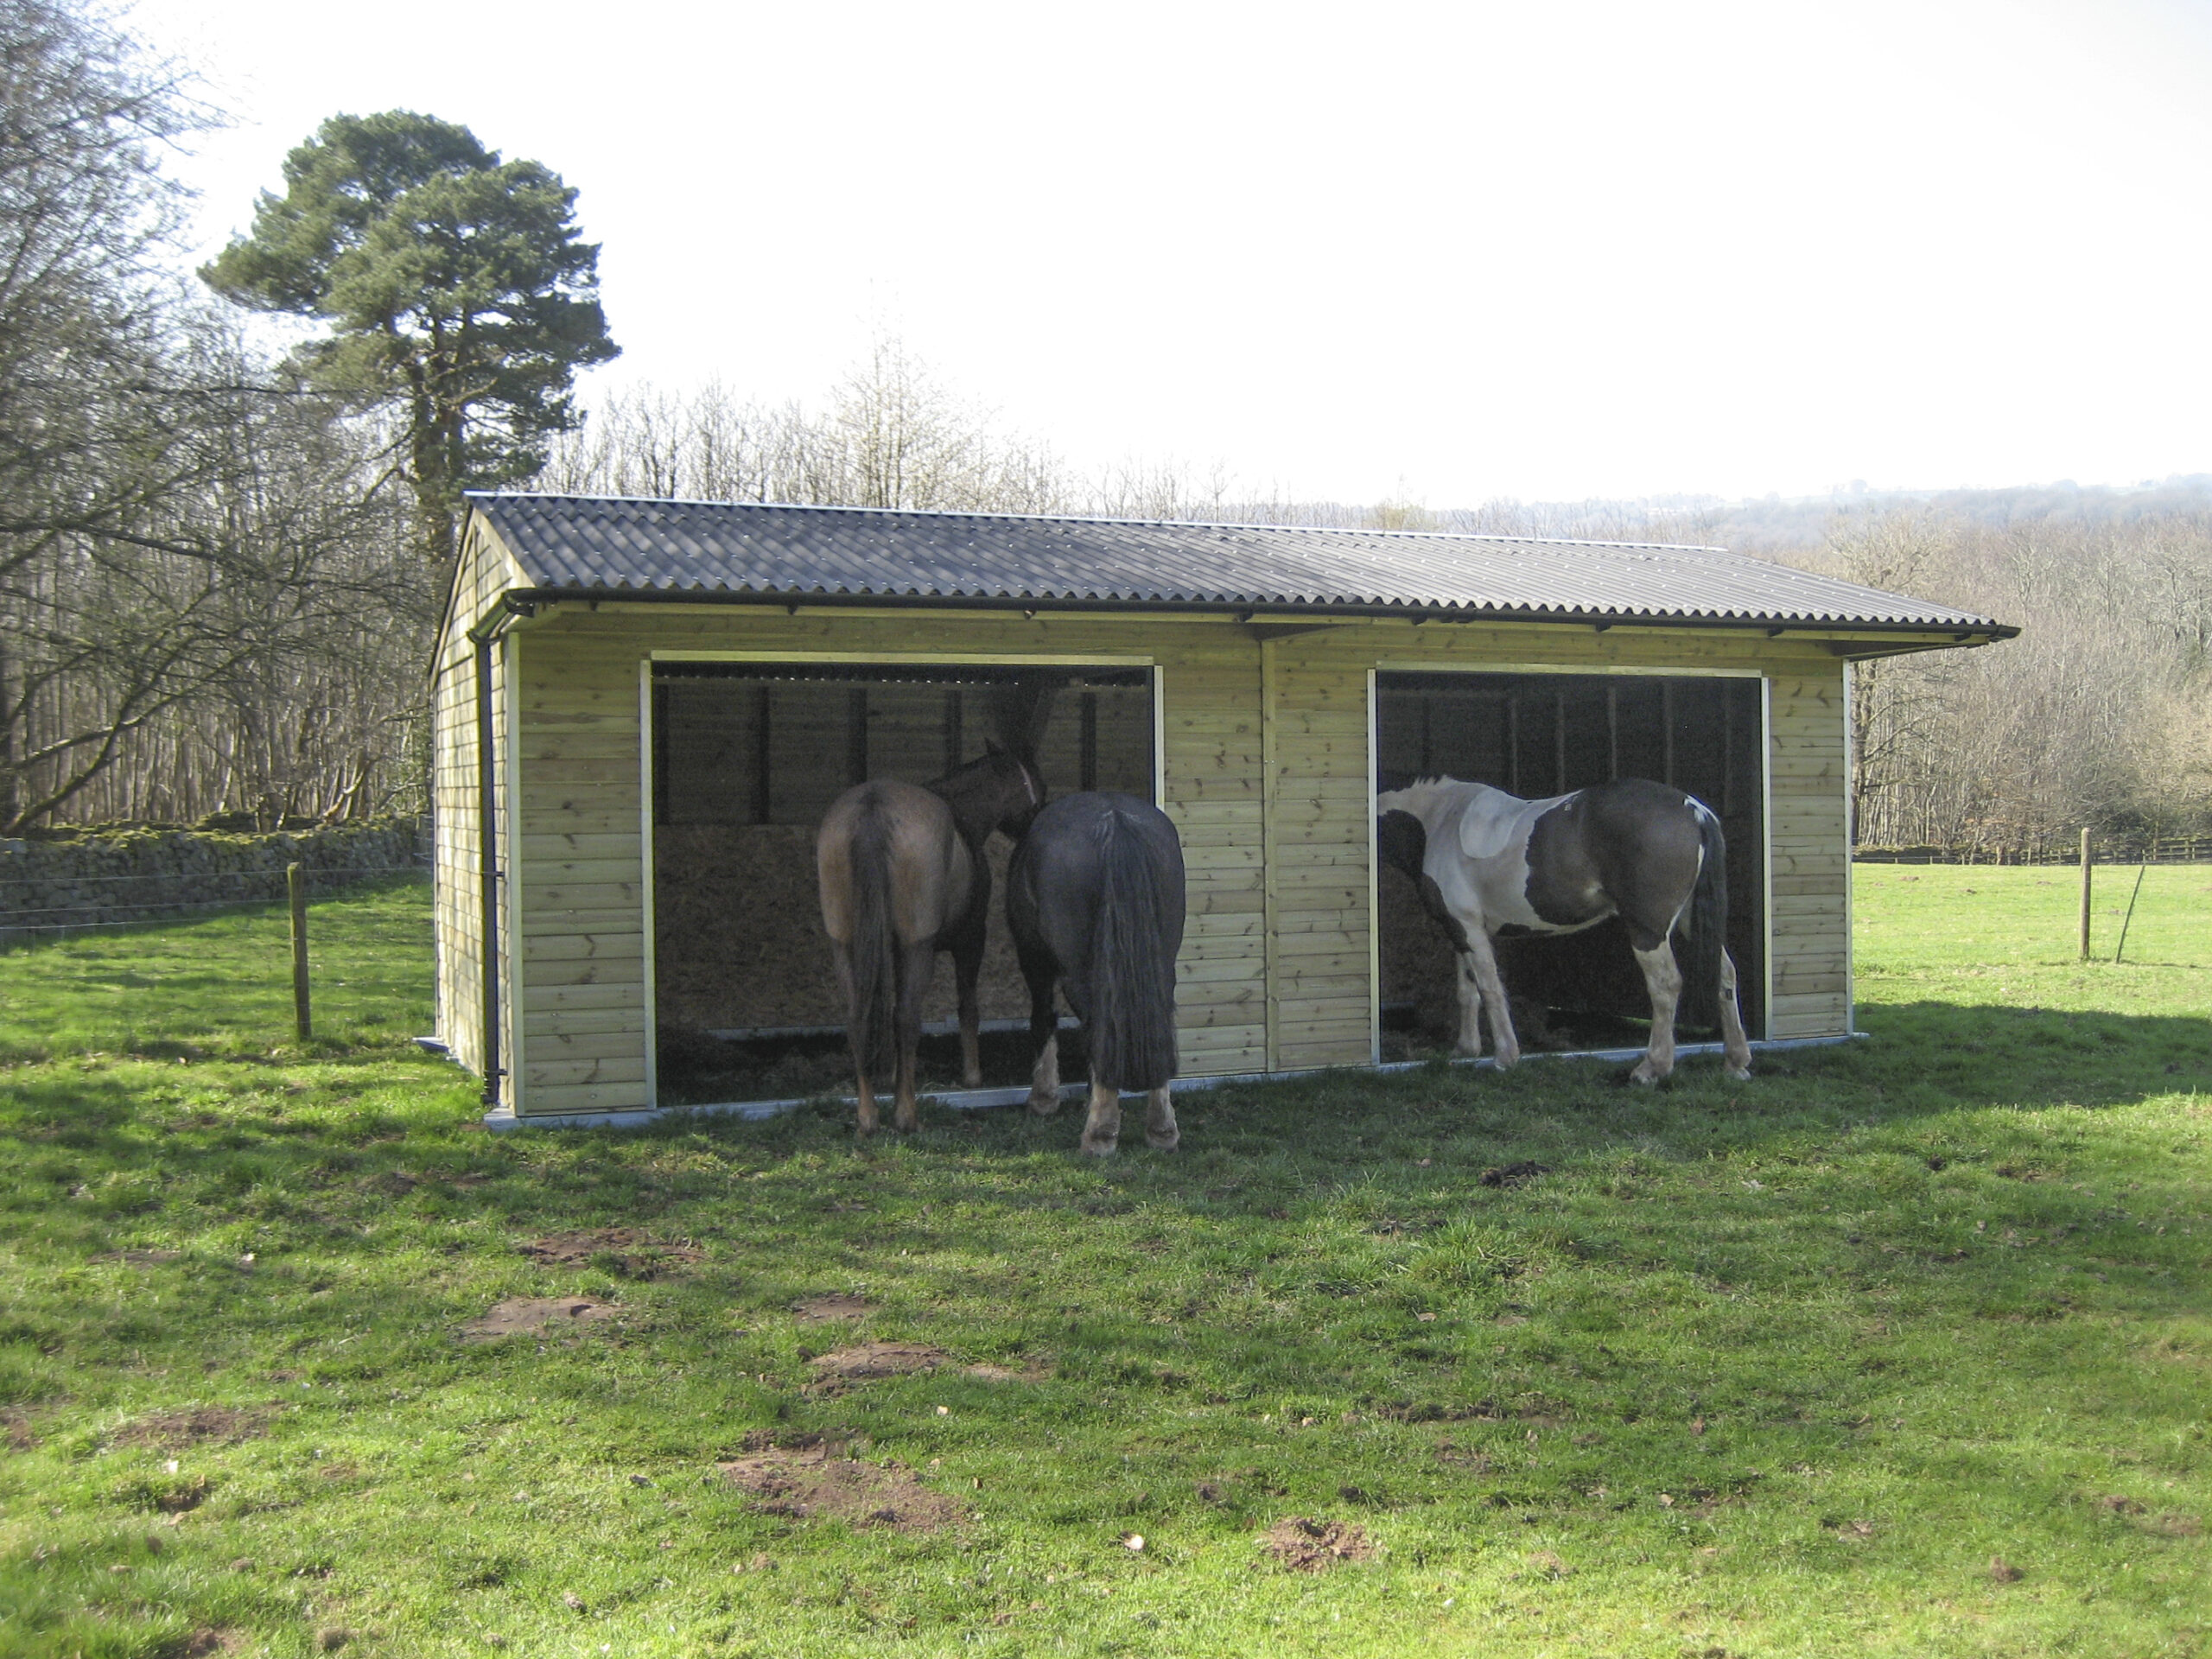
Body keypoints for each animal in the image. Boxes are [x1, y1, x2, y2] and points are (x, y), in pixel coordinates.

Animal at [823, 752, 1044, 1132]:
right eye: (1034, 782)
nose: (1038, 820)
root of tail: (872, 808)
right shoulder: (970, 940)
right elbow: (968, 1007)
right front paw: (972, 1075)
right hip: (918, 948)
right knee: (908, 1018)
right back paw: (906, 1115)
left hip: (846, 946)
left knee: (857, 1020)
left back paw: (867, 1117)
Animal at [1013, 791, 1194, 1159]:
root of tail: (1116, 821)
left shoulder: (1034, 958)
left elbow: (1043, 1018)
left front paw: (1043, 1099)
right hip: (1162, 962)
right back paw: (1162, 1130)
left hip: (1078, 972)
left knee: (1096, 1023)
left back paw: (1099, 1134)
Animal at [1371, 779, 1751, 1092]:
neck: (1436, 822)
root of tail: (1694, 810)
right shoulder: (1459, 929)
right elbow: (1468, 991)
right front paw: (1465, 1049)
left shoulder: (1468, 927)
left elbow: (1490, 989)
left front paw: (1505, 1058)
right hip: (1691, 924)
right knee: (1725, 976)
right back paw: (1736, 1062)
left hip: (1648, 930)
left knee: (1666, 985)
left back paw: (1650, 1069)